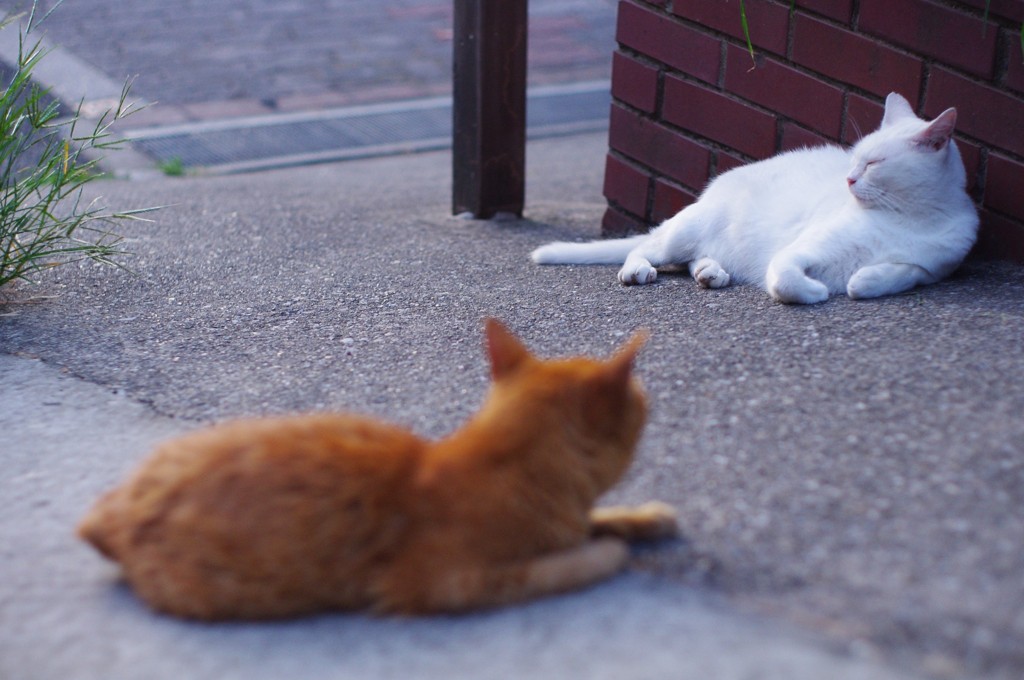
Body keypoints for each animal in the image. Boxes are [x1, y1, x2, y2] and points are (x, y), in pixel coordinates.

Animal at [75, 319, 675, 622]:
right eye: (644, 405)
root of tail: (112, 509)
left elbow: (597, 519)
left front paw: (646, 516)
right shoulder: (445, 583)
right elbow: (565, 564)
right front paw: (609, 551)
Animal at [532, 91, 978, 303]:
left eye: (873, 163)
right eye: (856, 159)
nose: (849, 180)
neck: (906, 218)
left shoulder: (936, 267)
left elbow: (906, 272)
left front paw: (864, 280)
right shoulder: (799, 250)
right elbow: (785, 279)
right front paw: (817, 292)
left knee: (694, 259)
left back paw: (710, 272)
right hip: (682, 233)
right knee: (644, 248)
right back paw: (639, 270)